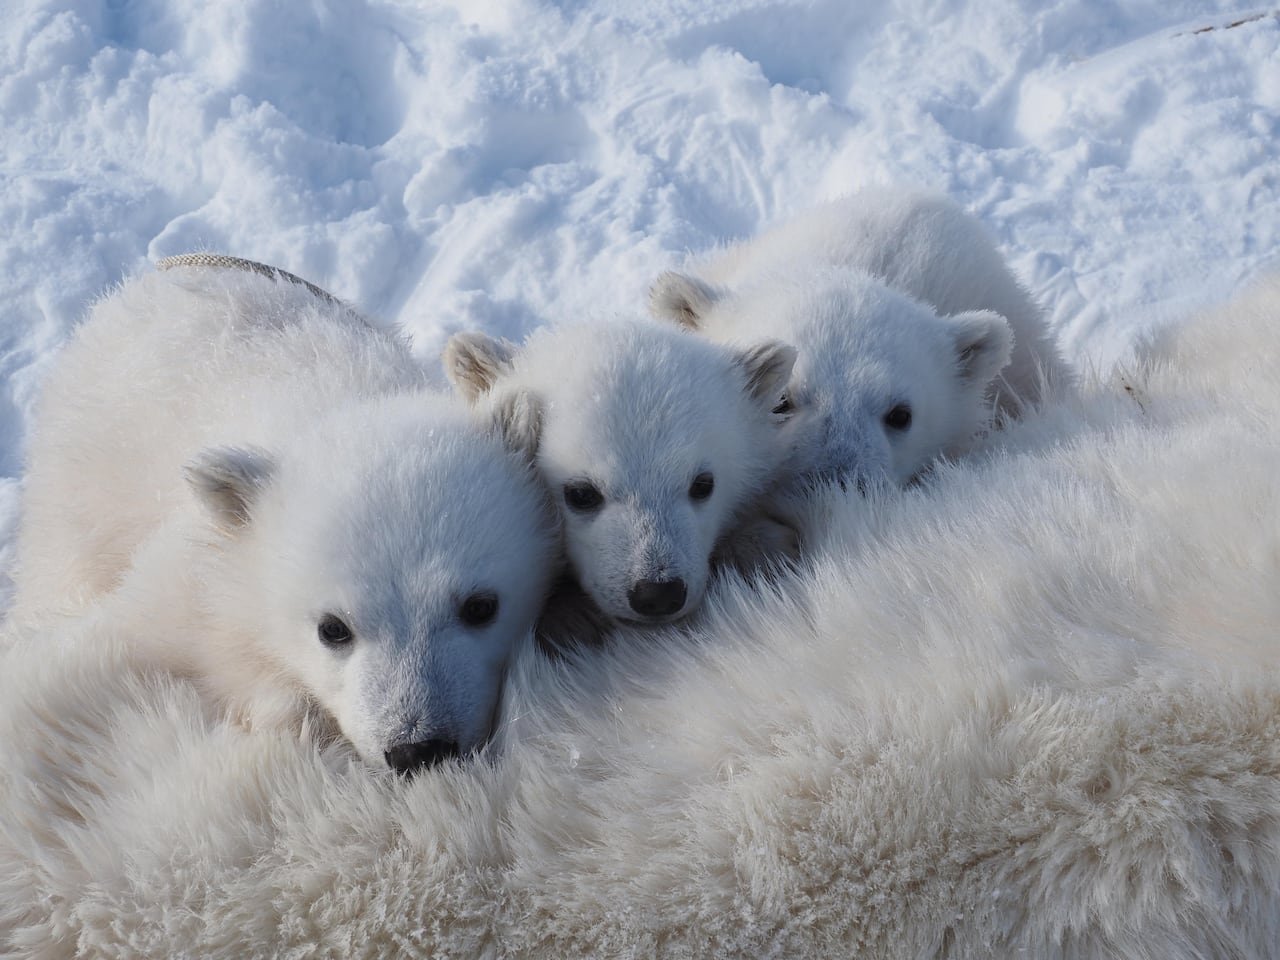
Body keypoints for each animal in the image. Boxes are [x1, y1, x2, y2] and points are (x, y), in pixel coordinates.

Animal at [9, 264, 559, 774]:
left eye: (481, 606)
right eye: (332, 628)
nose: (416, 748)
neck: (344, 402)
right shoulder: (190, 566)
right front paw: (289, 715)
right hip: (81, 487)